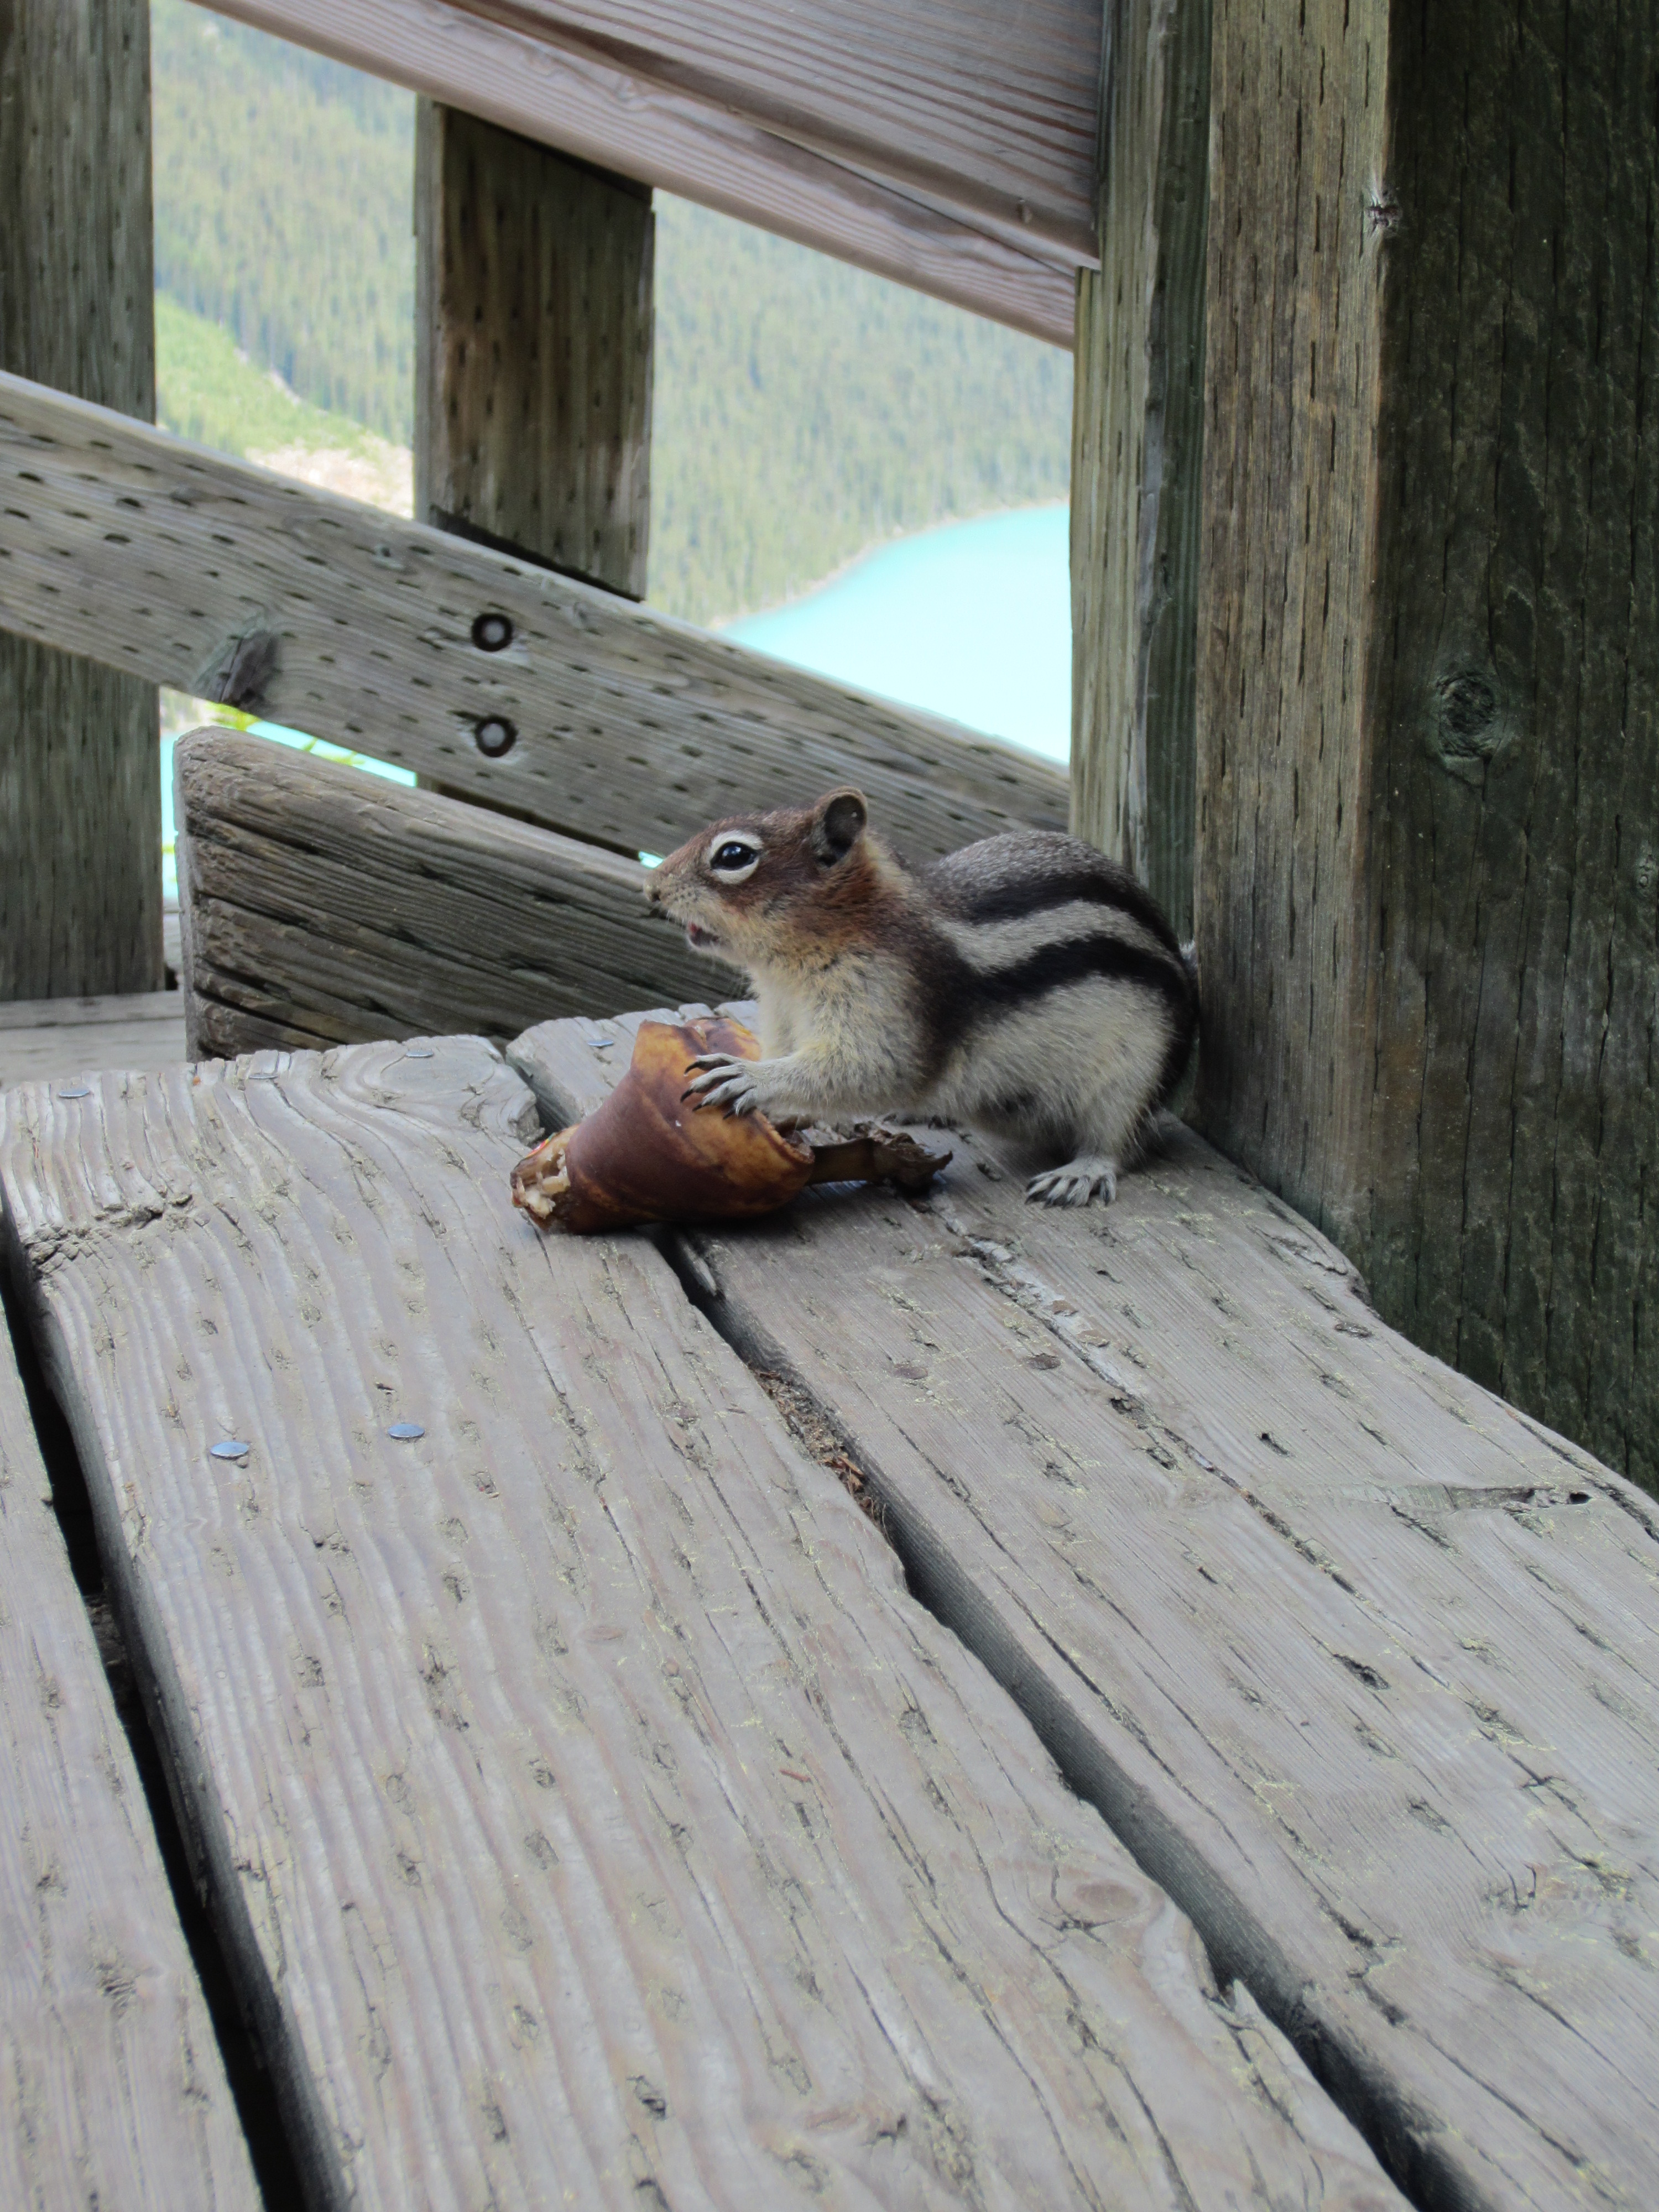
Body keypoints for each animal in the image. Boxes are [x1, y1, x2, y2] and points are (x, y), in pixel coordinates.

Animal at [645, 786, 1198, 1206]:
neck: (790, 970)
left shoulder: (888, 998)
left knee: (1117, 1137)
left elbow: (873, 1068)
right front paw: (779, 1105)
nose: (651, 888)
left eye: (734, 856)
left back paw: (1082, 1170)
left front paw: (750, 1078)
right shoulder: (784, 1017)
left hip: (1132, 1073)